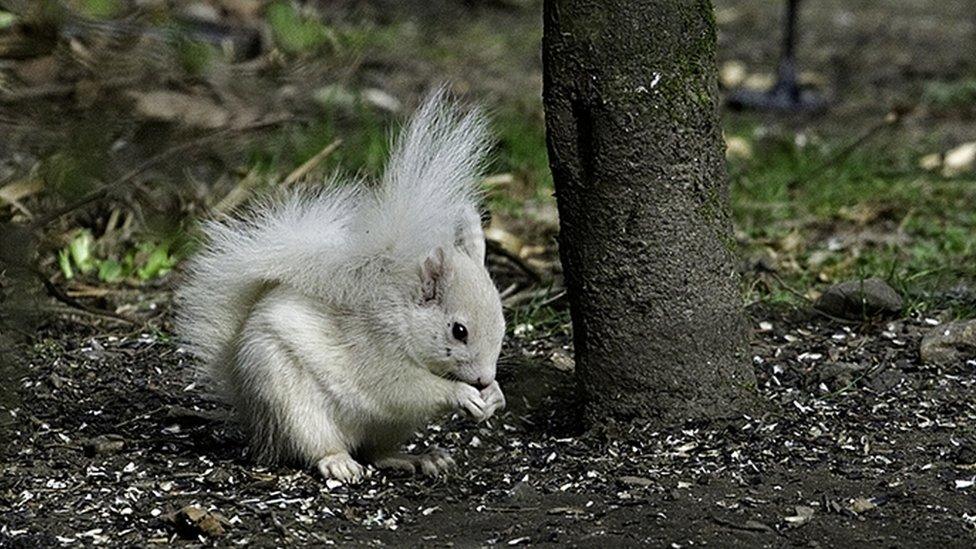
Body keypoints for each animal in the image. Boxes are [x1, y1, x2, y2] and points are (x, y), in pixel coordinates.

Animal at [175, 90, 508, 480]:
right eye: (459, 331)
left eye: (503, 324)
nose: (484, 379)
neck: (401, 311)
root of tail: (248, 408)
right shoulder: (375, 348)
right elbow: (404, 388)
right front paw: (461, 394)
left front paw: (495, 396)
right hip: (293, 406)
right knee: (318, 446)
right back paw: (338, 462)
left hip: (390, 427)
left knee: (377, 453)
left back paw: (419, 457)